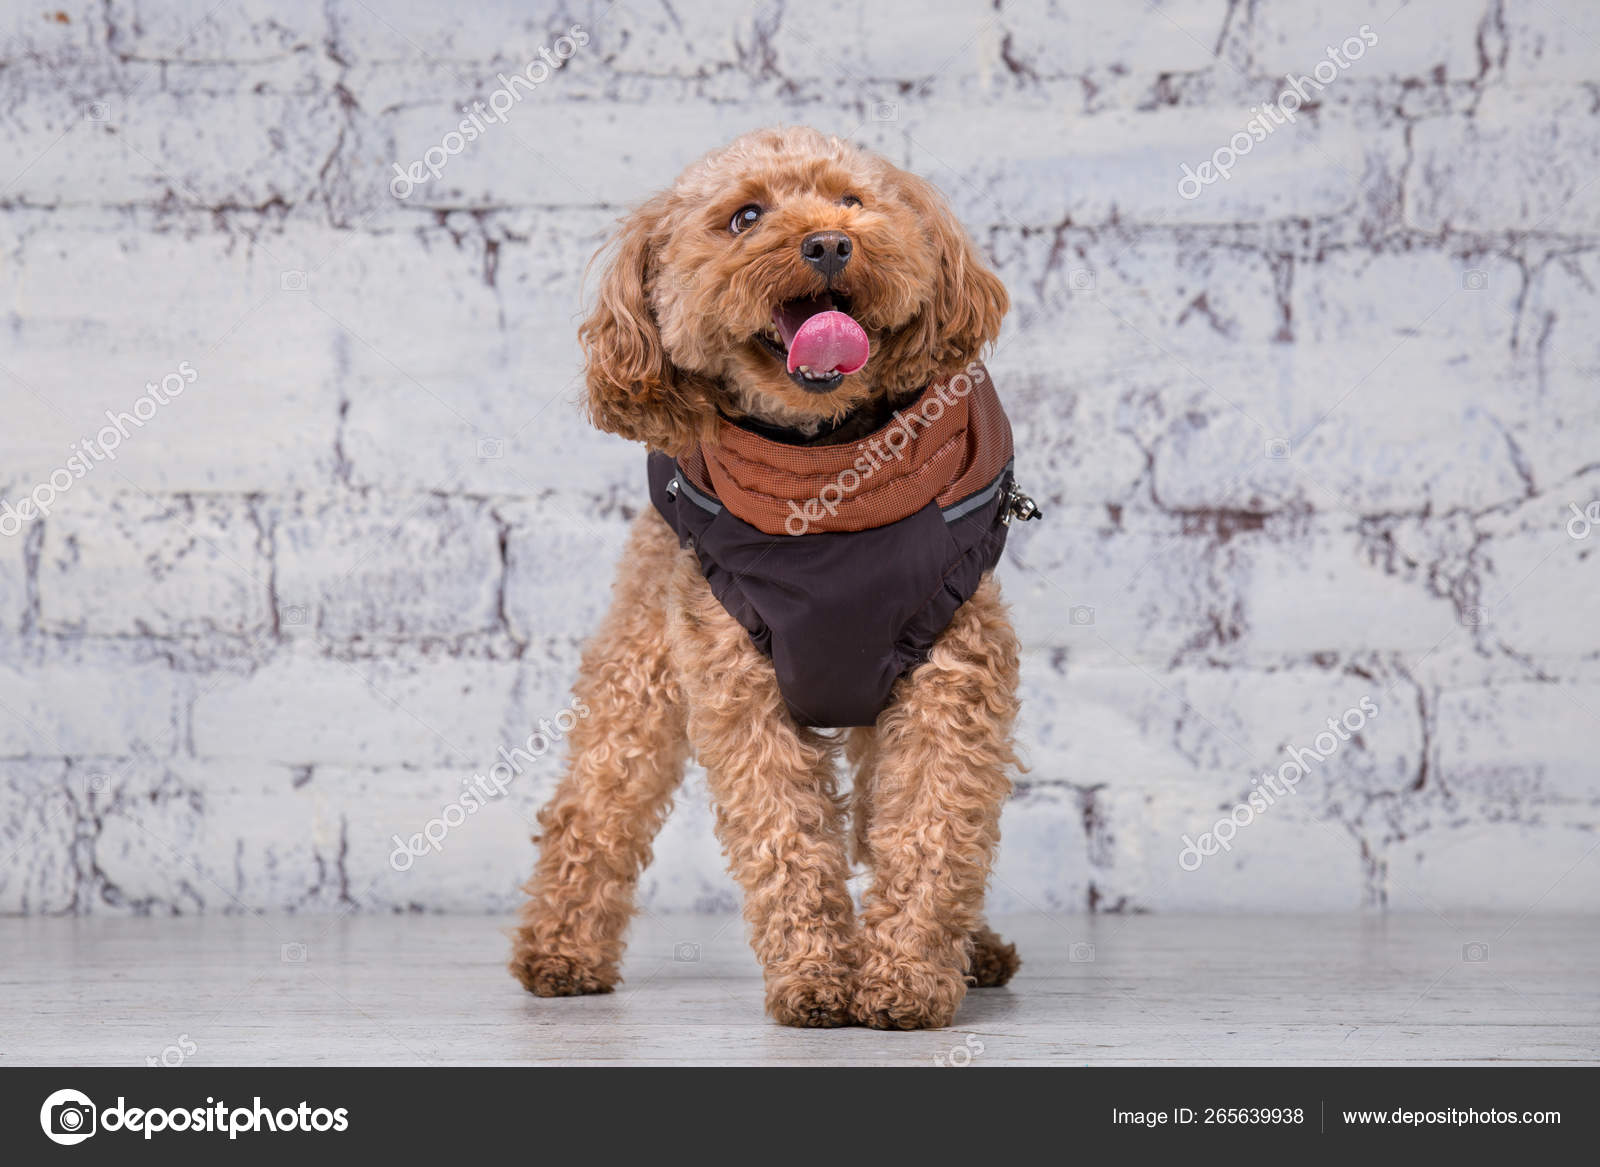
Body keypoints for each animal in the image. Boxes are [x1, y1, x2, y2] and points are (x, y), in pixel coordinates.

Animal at [512, 123, 1024, 1024]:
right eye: (745, 216)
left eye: (853, 200)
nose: (828, 242)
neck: (826, 482)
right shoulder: (740, 686)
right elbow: (787, 835)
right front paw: (817, 977)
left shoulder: (947, 680)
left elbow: (931, 829)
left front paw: (904, 978)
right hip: (642, 669)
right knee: (594, 807)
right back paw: (559, 951)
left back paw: (975, 949)